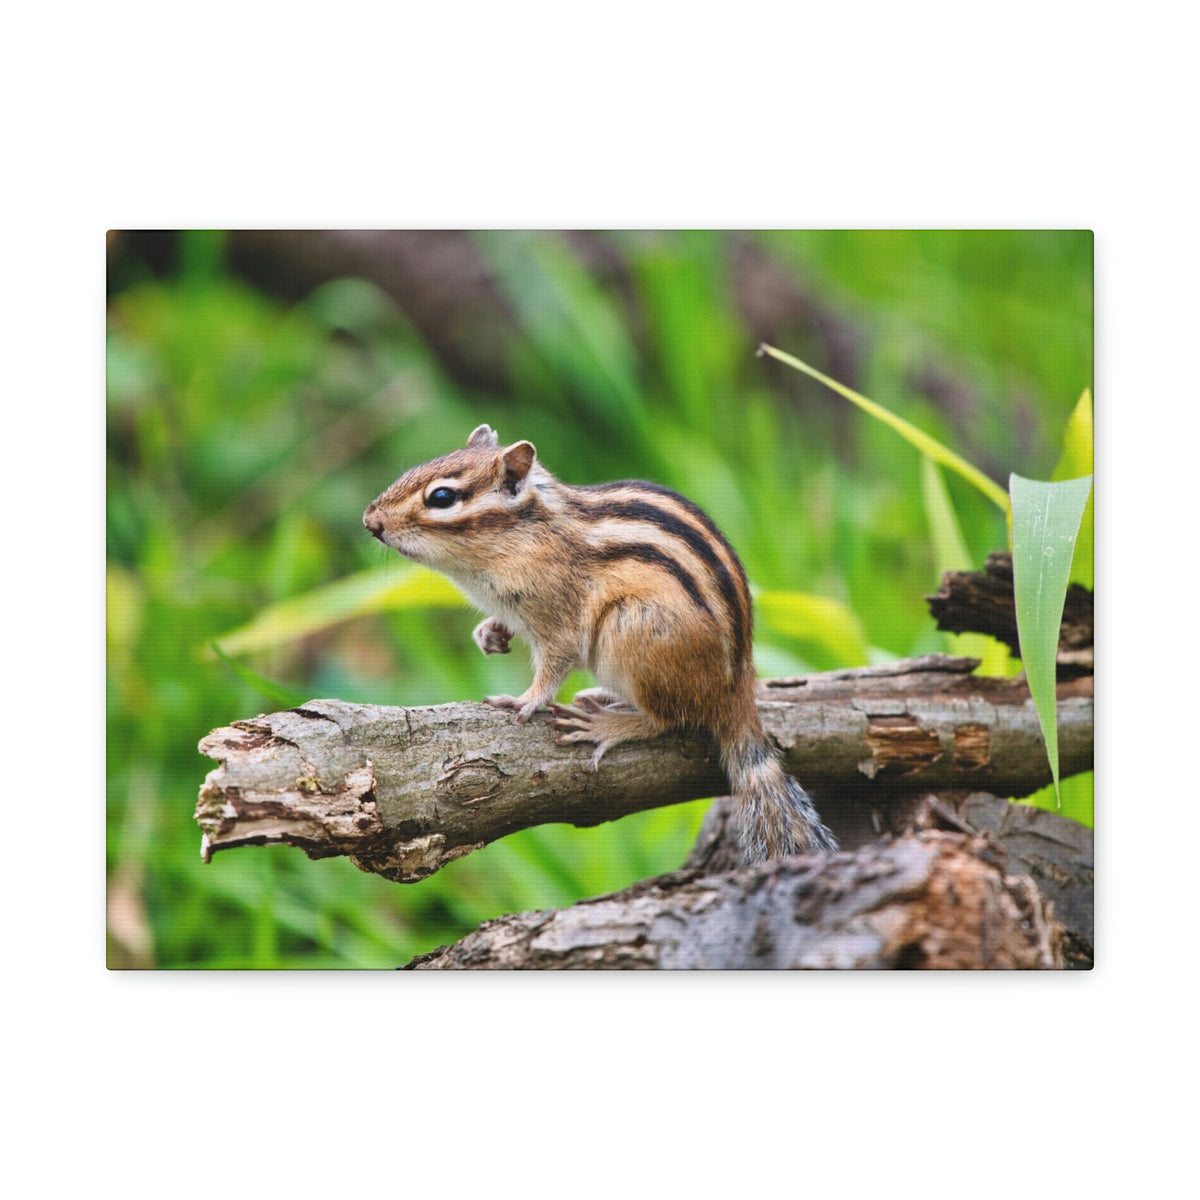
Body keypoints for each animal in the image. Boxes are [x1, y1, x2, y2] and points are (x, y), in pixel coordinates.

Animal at [363, 424, 837, 863]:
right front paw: (490, 633)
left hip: (631, 630)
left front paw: (527, 700)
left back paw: (606, 725)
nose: (370, 521)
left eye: (442, 497)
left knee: (669, 719)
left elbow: (555, 664)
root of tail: (736, 688)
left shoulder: (560, 617)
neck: (523, 537)